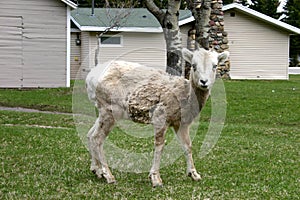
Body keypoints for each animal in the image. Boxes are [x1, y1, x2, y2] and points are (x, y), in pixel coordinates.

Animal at [85, 47, 229, 187]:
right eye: (193, 65)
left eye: (215, 65)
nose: (204, 82)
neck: (184, 96)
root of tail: (90, 78)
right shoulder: (160, 117)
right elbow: (160, 145)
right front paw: (155, 179)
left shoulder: (181, 123)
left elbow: (187, 146)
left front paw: (194, 174)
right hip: (109, 109)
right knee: (97, 138)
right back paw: (109, 176)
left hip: (103, 110)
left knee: (90, 134)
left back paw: (97, 170)